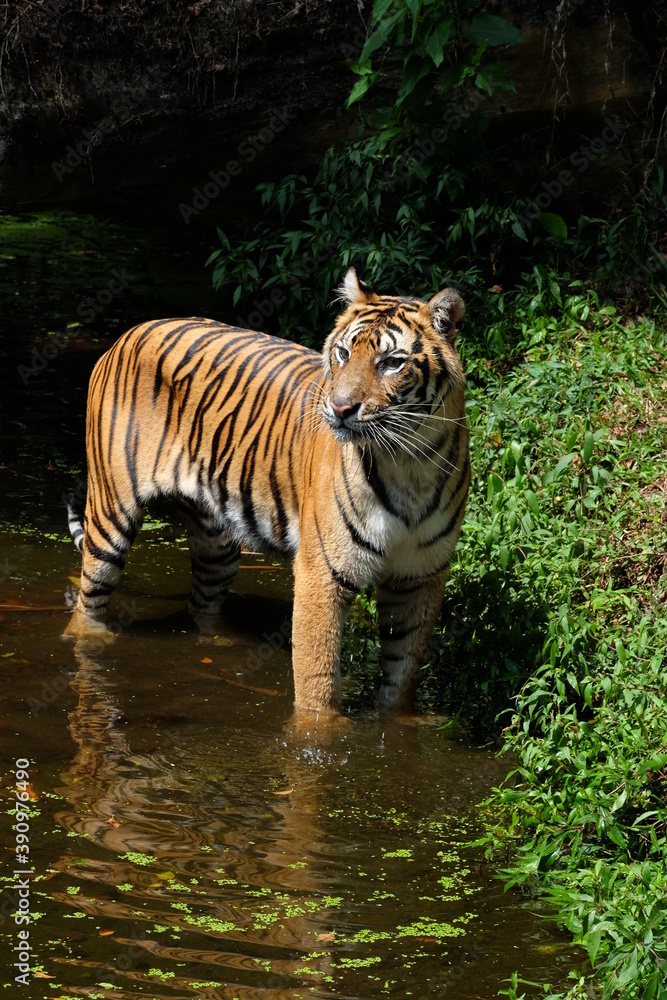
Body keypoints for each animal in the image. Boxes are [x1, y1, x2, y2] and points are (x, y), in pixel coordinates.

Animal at [65, 267, 470, 715]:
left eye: (392, 363)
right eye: (343, 353)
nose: (340, 408)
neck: (409, 464)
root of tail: (128, 333)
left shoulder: (420, 577)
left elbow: (403, 671)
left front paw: (398, 720)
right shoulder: (322, 571)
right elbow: (316, 681)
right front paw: (320, 728)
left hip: (218, 539)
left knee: (202, 601)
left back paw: (220, 641)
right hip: (111, 512)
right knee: (88, 599)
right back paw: (93, 639)